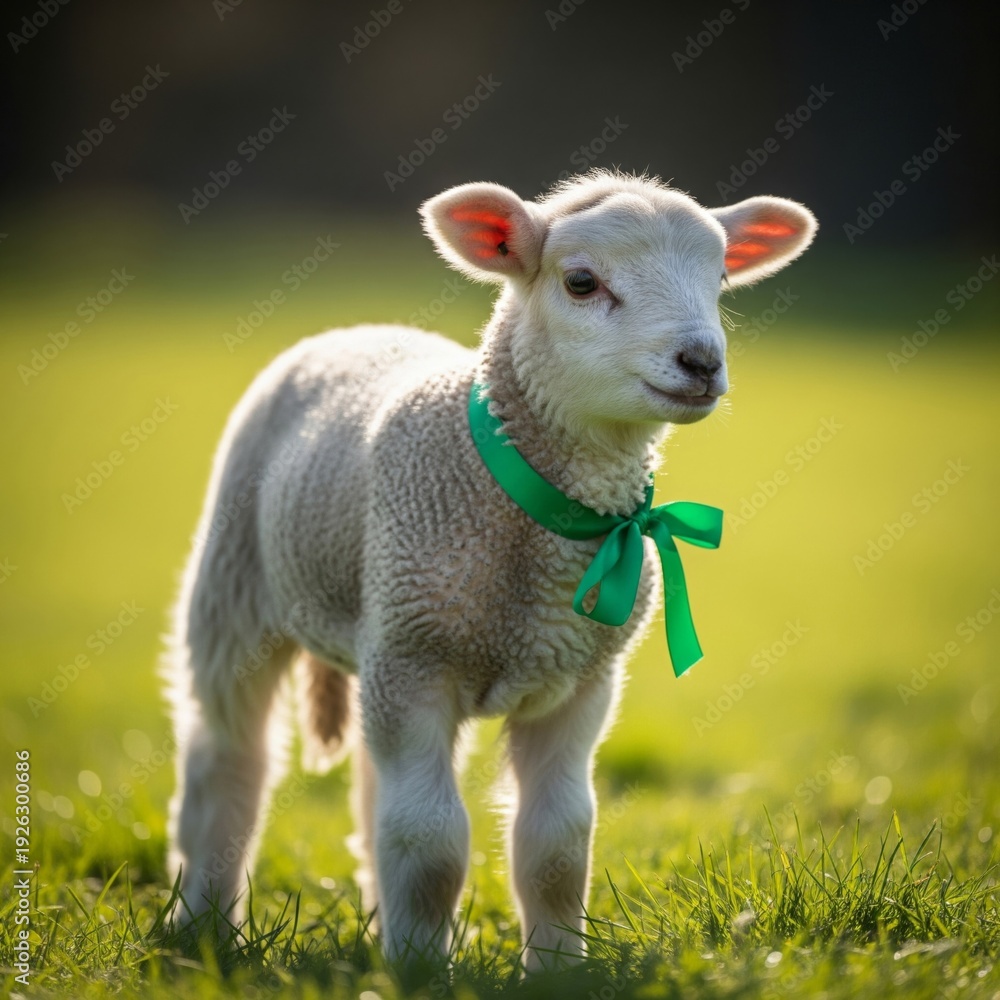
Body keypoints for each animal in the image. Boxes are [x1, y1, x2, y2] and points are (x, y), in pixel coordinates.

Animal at [165, 169, 817, 970]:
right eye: (580, 282)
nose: (701, 363)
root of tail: (354, 329)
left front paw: (557, 969)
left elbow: (557, 842)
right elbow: (431, 841)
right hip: (238, 591)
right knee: (227, 762)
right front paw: (421, 972)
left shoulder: (578, 683)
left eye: (720, 278)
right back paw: (202, 927)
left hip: (376, 635)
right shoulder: (418, 660)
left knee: (369, 789)